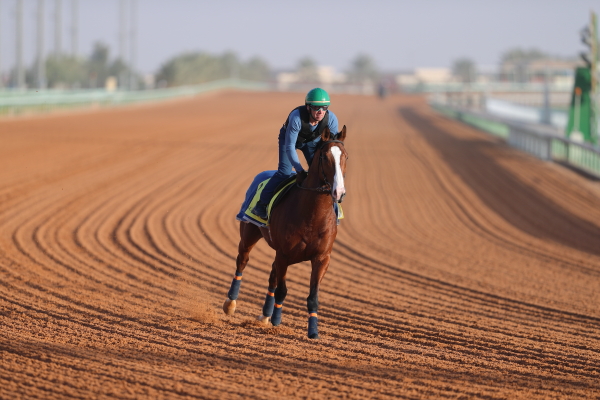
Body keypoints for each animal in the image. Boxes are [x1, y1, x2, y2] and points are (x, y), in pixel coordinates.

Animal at [223, 125, 350, 338]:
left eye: (346, 156)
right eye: (324, 156)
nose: (338, 192)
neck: (312, 216)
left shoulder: (322, 258)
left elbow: (312, 297)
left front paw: (313, 331)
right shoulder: (284, 254)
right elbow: (282, 290)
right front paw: (276, 320)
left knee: (272, 275)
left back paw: (264, 315)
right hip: (248, 235)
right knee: (242, 262)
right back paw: (231, 304)